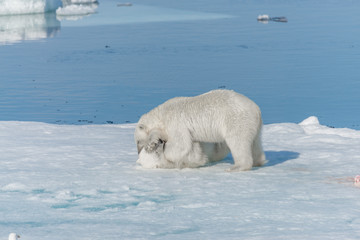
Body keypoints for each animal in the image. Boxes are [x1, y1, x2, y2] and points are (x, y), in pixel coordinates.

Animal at [134, 89, 266, 171]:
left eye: (138, 141)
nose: (138, 151)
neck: (161, 115)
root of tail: (256, 109)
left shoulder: (175, 122)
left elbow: (181, 144)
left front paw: (164, 153)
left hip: (236, 121)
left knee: (238, 142)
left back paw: (236, 167)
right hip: (254, 126)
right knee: (255, 143)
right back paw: (258, 161)